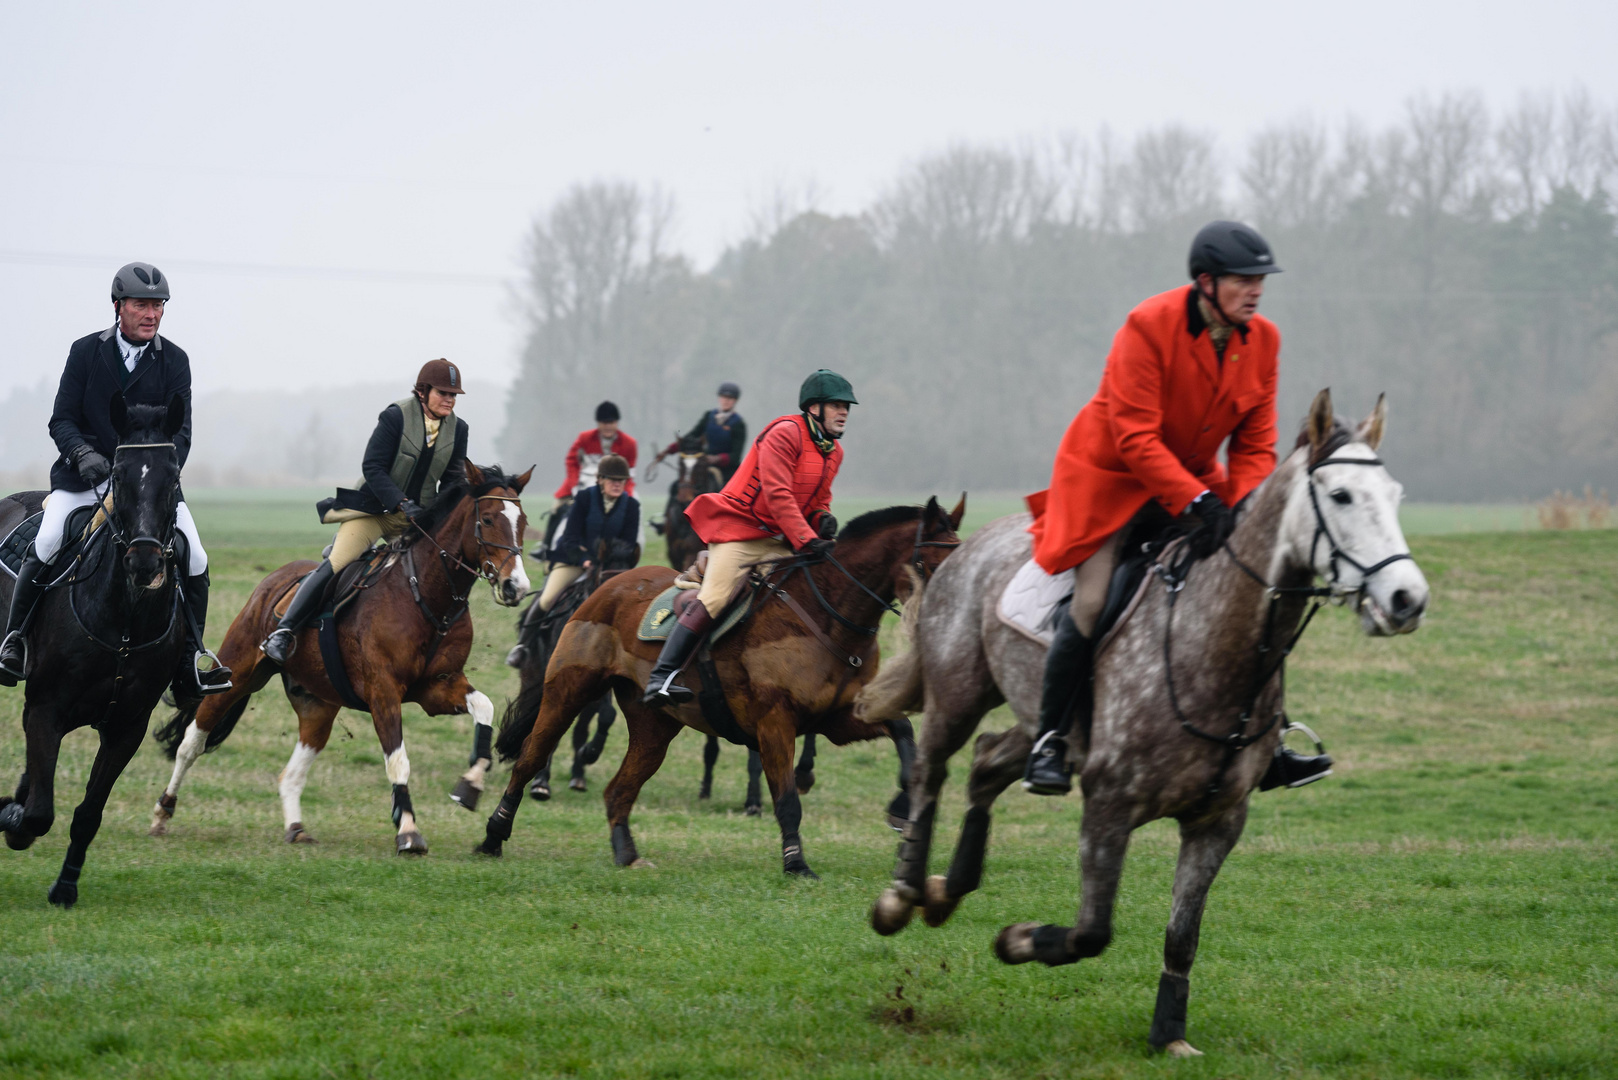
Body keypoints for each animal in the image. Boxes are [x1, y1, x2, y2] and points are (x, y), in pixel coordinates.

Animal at [0, 395, 192, 906]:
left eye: (173, 476)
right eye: (119, 475)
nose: (144, 562)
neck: (123, 621)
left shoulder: (126, 727)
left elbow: (86, 814)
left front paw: (65, 887)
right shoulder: (45, 709)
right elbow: (39, 812)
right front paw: (12, 819)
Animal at [148, 466, 533, 854]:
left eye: (524, 522)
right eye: (488, 519)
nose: (516, 587)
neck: (423, 593)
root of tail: (272, 581)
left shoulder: (438, 688)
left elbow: (484, 708)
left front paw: (470, 785)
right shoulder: (383, 692)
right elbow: (398, 761)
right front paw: (408, 830)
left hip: (318, 703)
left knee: (291, 773)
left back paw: (296, 828)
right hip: (237, 674)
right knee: (191, 744)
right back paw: (162, 812)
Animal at [472, 498, 964, 880]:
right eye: (930, 563)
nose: (953, 618)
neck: (829, 616)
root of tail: (607, 586)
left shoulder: (836, 719)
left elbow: (903, 733)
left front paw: (904, 810)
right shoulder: (775, 724)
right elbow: (787, 800)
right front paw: (796, 863)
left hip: (654, 728)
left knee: (619, 789)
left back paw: (627, 854)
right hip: (568, 691)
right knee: (531, 757)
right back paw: (493, 837)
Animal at [867, 393, 1436, 1062]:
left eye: (1395, 495)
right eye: (1341, 495)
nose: (1406, 600)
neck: (1212, 647)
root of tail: (972, 540)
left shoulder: (1217, 822)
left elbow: (1182, 935)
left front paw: (1169, 1034)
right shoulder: (1108, 808)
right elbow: (1091, 932)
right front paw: (1018, 940)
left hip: (1042, 725)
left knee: (986, 763)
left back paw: (945, 890)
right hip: (958, 693)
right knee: (932, 772)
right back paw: (902, 896)